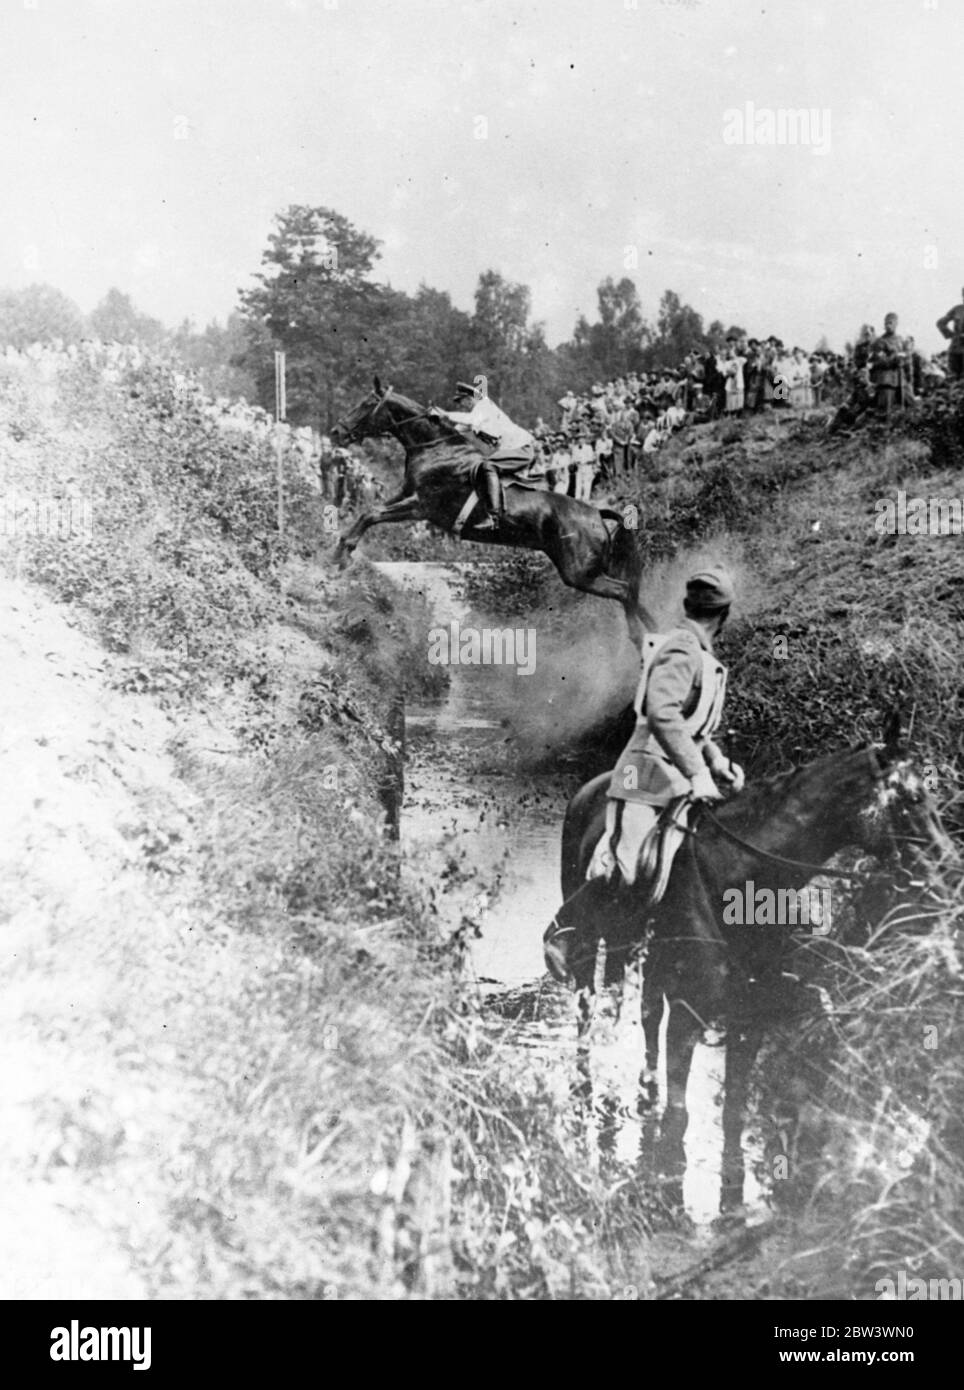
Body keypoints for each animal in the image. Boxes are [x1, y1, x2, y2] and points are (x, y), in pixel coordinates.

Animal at [334, 378, 658, 642]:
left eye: (366, 404)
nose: (337, 431)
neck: (437, 448)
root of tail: (596, 514)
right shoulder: (405, 495)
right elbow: (368, 512)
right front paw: (340, 550)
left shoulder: (421, 506)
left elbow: (372, 515)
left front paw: (343, 553)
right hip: (591, 568)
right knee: (632, 592)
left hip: (579, 573)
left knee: (624, 591)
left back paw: (639, 641)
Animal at [555, 733, 955, 1212]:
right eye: (913, 798)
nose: (948, 870)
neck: (739, 879)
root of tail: (589, 788)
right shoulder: (689, 1016)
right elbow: (679, 1118)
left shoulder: (753, 1015)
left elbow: (734, 1115)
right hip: (588, 942)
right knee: (587, 1007)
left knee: (647, 1014)